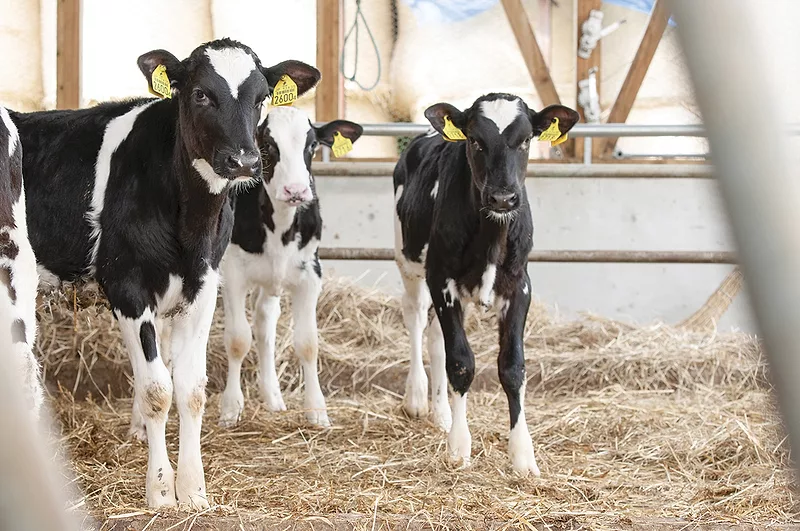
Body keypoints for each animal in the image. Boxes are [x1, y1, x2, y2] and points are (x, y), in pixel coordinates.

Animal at [11, 39, 320, 509]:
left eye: (262, 96)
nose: (244, 161)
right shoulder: (128, 287)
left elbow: (191, 389)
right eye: (200, 94)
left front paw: (193, 489)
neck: (189, 218)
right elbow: (157, 390)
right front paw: (159, 490)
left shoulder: (204, 286)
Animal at [218, 105, 363, 428]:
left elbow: (308, 343)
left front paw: (317, 410)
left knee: (264, 320)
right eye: (268, 145)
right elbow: (237, 340)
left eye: (312, 145)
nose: (295, 190)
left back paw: (272, 396)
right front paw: (231, 407)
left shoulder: (310, 274)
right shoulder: (233, 273)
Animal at [393, 93, 579, 475]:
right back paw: (417, 397)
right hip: (410, 264)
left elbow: (512, 366)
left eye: (525, 140)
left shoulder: (520, 286)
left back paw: (441, 413)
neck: (492, 236)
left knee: (436, 340)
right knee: (416, 320)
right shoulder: (441, 279)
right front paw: (459, 447)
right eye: (475, 141)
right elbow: (461, 362)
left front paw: (523, 455)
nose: (503, 198)